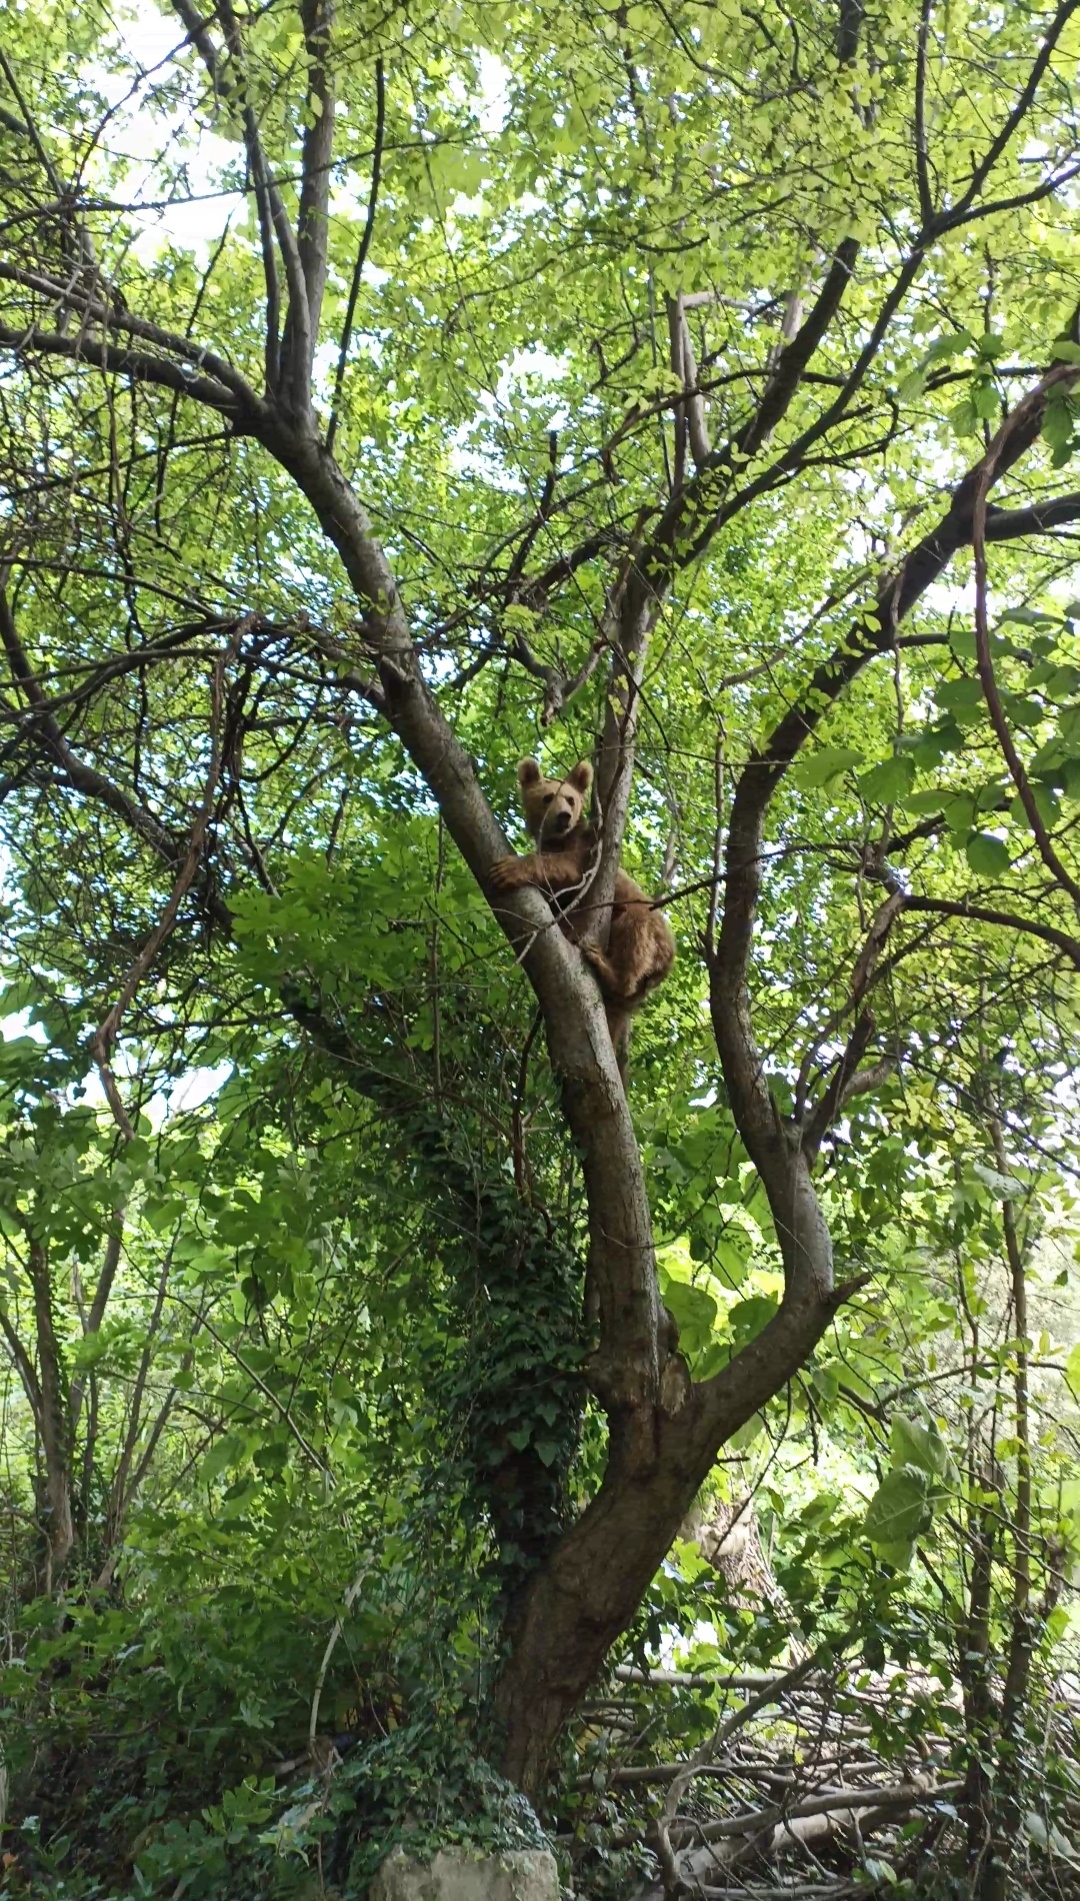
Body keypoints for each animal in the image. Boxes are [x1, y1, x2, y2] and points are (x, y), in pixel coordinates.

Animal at [490, 764, 676, 1079]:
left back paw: (605, 964)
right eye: (548, 796)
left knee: (634, 930)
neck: (557, 839)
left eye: (570, 798)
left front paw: (509, 868)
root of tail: (666, 965)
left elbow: (565, 867)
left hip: (647, 929)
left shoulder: (586, 853)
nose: (564, 816)